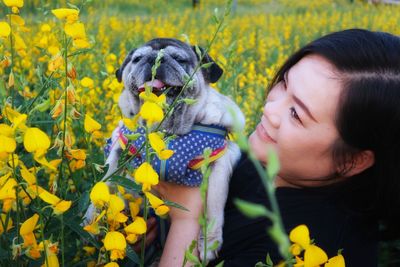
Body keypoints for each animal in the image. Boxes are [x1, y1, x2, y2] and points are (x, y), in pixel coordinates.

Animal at [96, 38, 244, 262]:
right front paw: (94, 214)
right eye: (137, 59)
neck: (165, 130)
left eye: (179, 59)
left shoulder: (220, 160)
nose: (153, 59)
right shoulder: (120, 142)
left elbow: (214, 205)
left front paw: (209, 241)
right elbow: (109, 176)